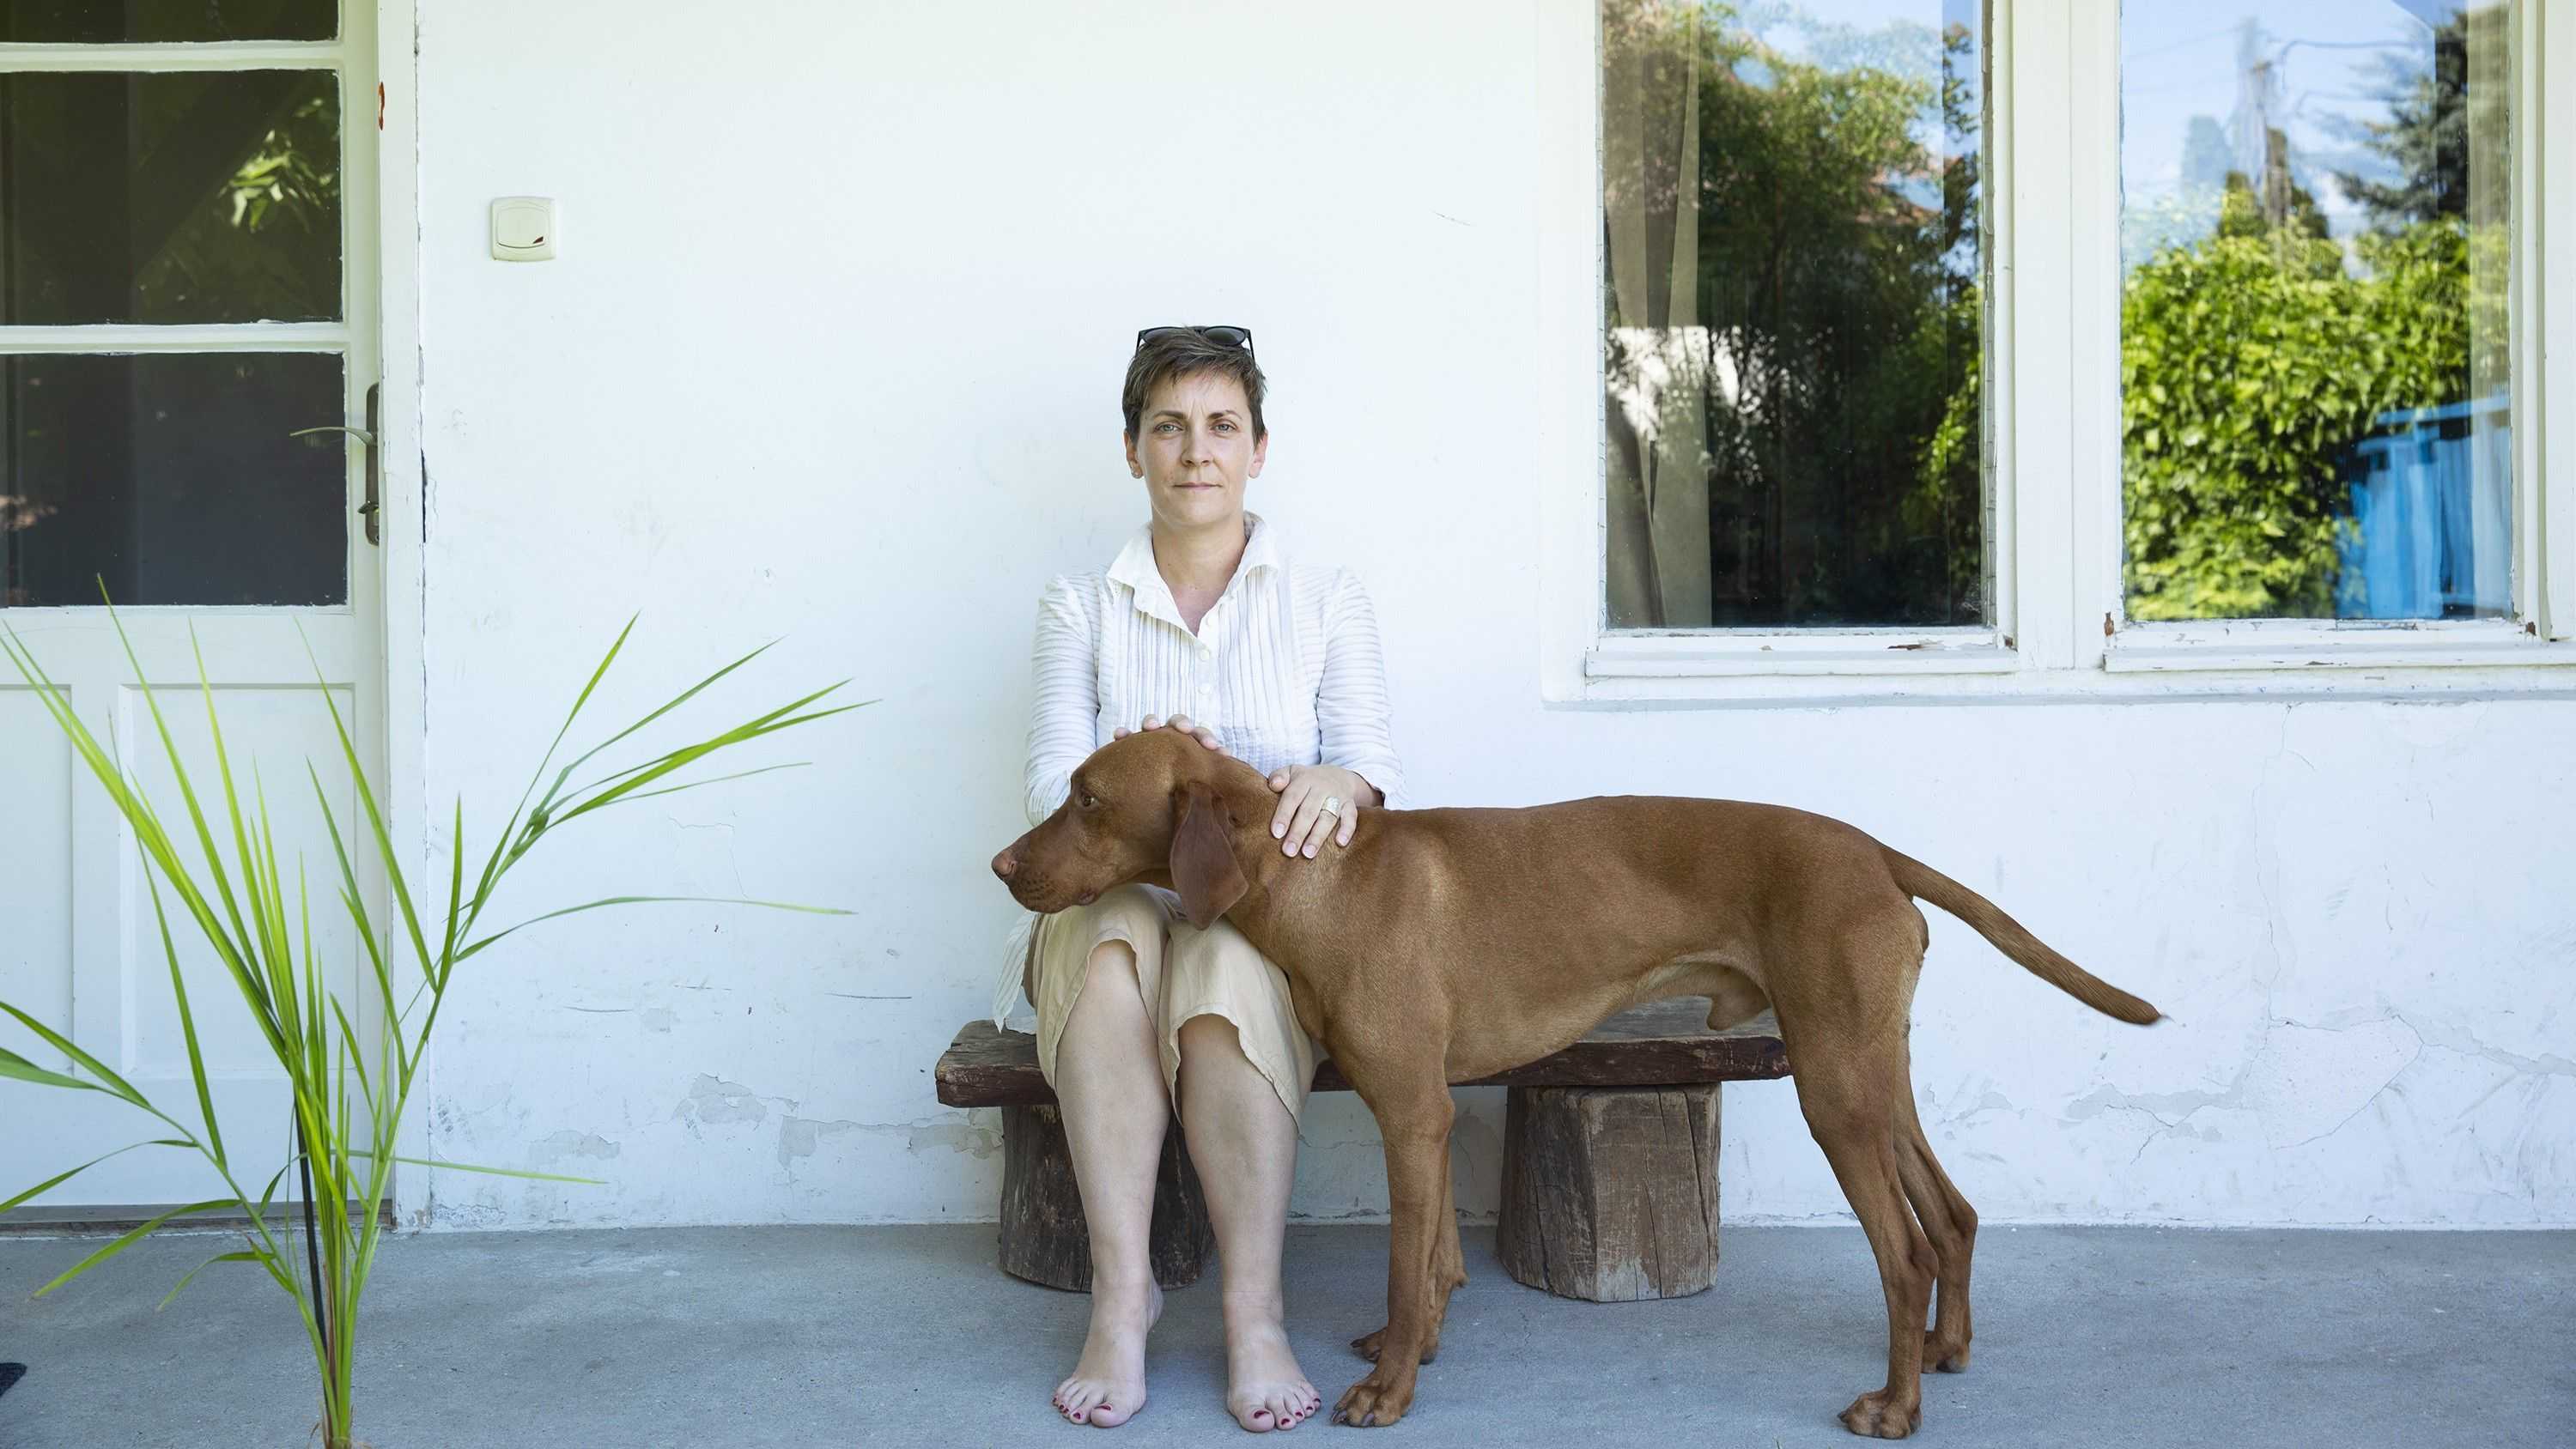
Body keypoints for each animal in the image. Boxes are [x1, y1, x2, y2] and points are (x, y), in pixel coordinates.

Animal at [984, 731, 2154, 1431]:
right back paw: (1949, 1350)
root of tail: (1876, 850)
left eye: (1087, 798)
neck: (1318, 878)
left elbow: (1407, 1269)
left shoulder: (1412, 1111)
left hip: (1835, 1089)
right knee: (1952, 1213)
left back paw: (1894, 1403)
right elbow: (1438, 1262)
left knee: (1905, 1250)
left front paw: (1389, 1388)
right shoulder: (1428, 1111)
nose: (999, 864)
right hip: (1870, 1071)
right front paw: (1420, 1347)